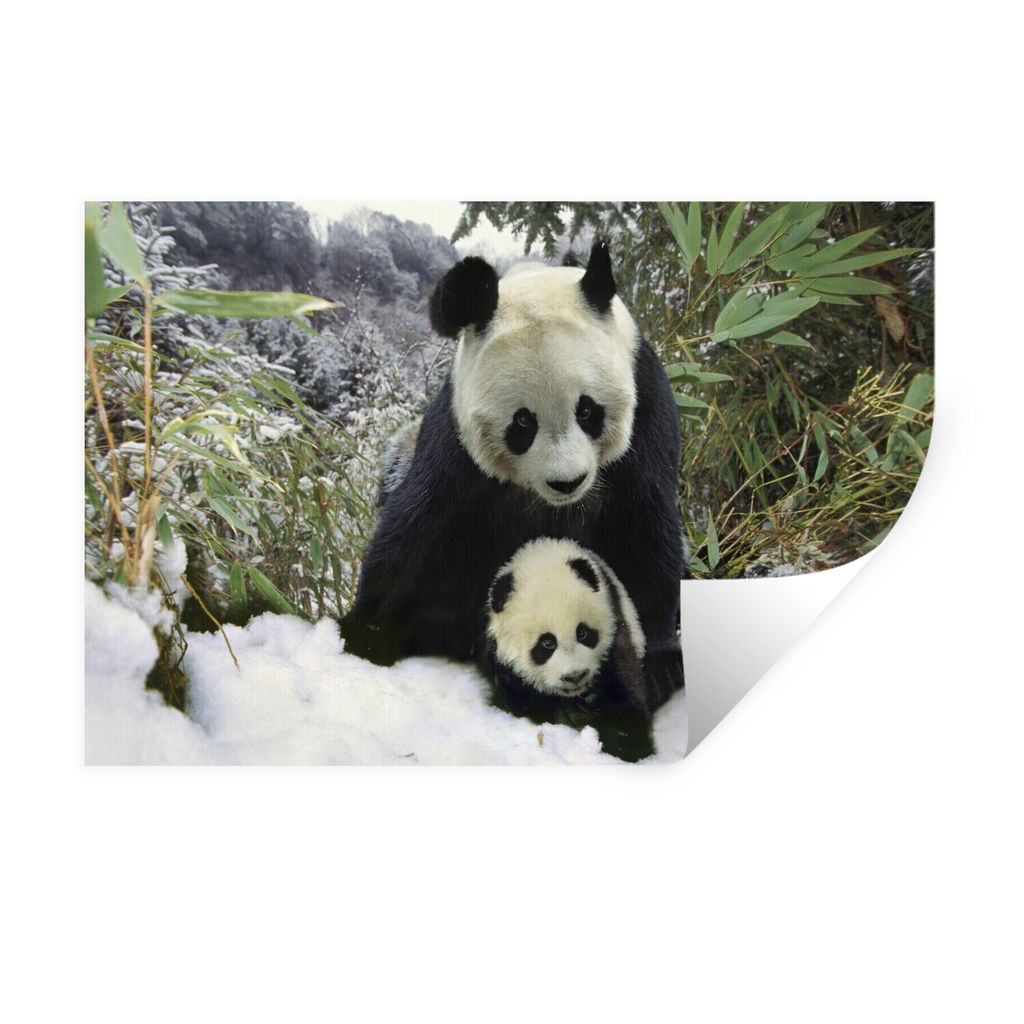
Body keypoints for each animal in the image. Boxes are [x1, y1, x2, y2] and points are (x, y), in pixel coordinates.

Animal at [339, 240, 685, 709]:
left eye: (587, 410)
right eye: (523, 422)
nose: (567, 482)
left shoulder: (645, 410)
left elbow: (643, 526)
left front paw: (659, 663)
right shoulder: (456, 444)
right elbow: (417, 529)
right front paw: (366, 632)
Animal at [481, 537, 654, 763]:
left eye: (582, 633)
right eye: (547, 643)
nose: (575, 676)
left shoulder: (615, 633)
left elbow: (625, 691)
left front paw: (625, 744)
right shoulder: (503, 664)